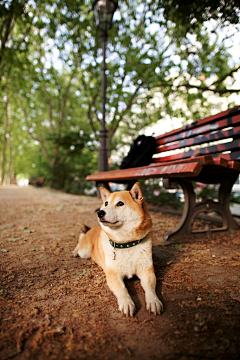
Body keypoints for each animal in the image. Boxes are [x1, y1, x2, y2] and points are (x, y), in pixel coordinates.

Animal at [72, 181, 163, 316]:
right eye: (106, 203)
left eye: (120, 203)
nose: (100, 212)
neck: (126, 244)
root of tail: (94, 229)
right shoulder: (113, 275)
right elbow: (122, 289)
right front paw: (127, 303)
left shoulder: (147, 272)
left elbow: (150, 288)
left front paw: (153, 301)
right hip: (84, 252)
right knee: (81, 237)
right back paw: (74, 251)